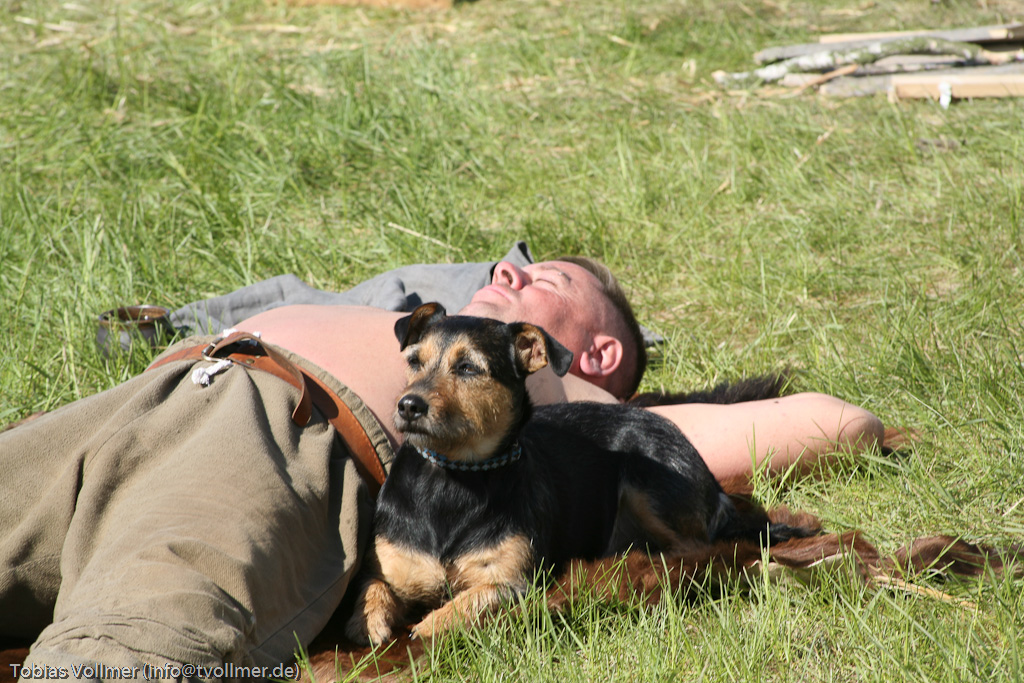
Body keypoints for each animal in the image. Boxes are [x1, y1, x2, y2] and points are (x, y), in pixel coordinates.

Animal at [344, 302, 809, 646]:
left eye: (468, 368)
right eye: (413, 362)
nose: (408, 405)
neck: (453, 476)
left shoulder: (513, 581)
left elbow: (466, 603)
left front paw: (427, 626)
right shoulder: (385, 568)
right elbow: (370, 589)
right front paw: (367, 622)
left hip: (647, 478)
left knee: (700, 551)